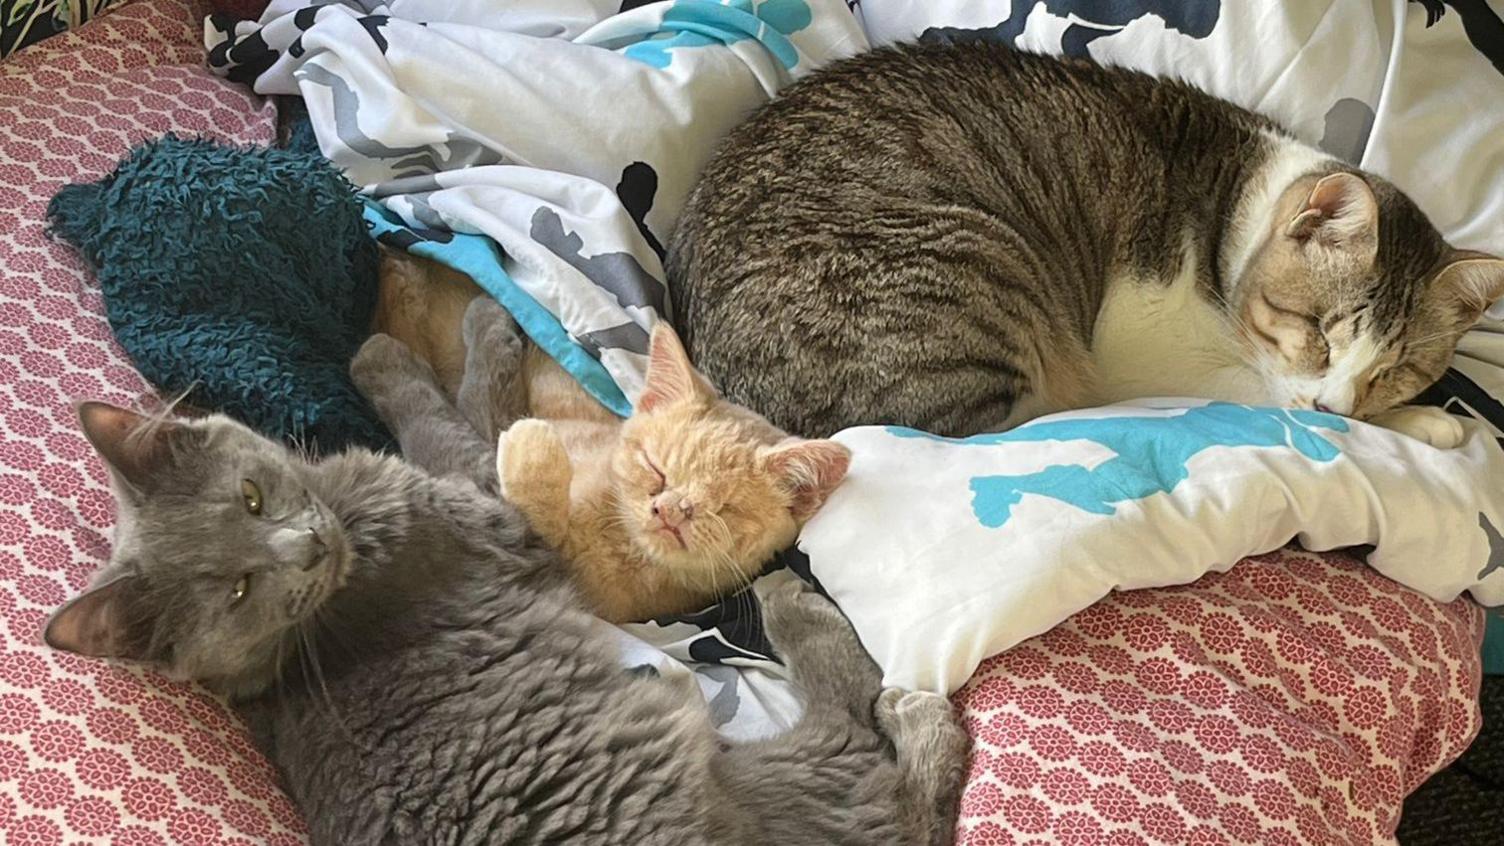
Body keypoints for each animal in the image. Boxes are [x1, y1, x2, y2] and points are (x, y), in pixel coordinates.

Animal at [670, 42, 1504, 445]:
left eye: (1396, 369)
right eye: (1319, 334)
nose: (1338, 405)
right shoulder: (1149, 350)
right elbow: (1272, 394)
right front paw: (1428, 424)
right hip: (975, 266)